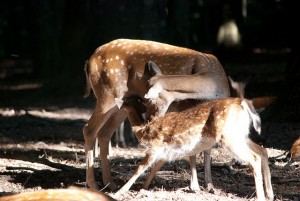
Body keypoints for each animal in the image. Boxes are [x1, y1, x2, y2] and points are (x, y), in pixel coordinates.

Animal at [82, 38, 230, 191]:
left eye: (148, 100)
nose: (148, 119)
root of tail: (90, 60)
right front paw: (195, 186)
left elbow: (207, 148)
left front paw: (209, 185)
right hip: (107, 94)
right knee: (89, 129)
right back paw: (93, 184)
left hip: (120, 105)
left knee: (104, 133)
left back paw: (109, 183)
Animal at [115, 96, 274, 200]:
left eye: (125, 100)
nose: (115, 102)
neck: (143, 131)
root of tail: (243, 102)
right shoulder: (165, 153)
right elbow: (154, 168)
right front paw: (143, 187)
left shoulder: (155, 147)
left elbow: (139, 168)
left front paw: (119, 192)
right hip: (240, 135)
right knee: (263, 150)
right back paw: (270, 194)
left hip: (228, 136)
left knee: (254, 157)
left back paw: (260, 197)